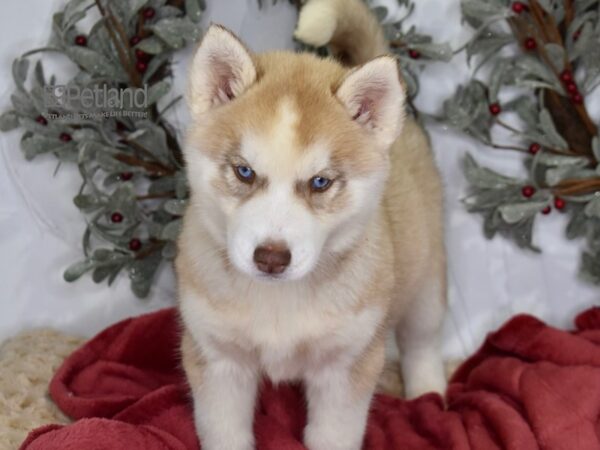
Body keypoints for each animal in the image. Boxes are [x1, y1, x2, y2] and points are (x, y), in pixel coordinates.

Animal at [176, 1, 448, 448]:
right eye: (245, 172)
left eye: (320, 182)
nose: (271, 257)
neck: (279, 302)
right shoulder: (218, 360)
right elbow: (224, 431)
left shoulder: (346, 367)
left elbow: (333, 435)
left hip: (425, 281)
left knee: (422, 343)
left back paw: (429, 395)